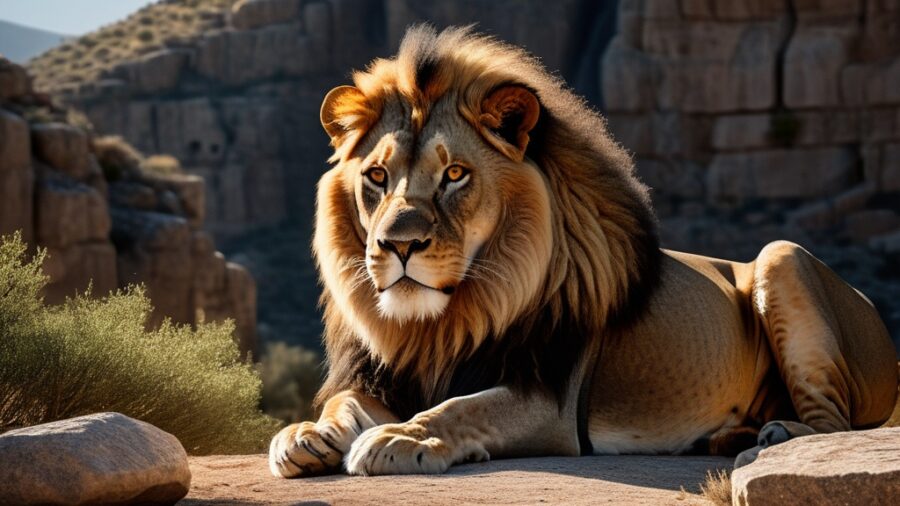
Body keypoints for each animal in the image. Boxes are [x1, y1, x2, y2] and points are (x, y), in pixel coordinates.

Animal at [269, 25, 898, 477]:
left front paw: (401, 436)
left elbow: (460, 407)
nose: (399, 244)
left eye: (454, 174)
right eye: (376, 176)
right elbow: (342, 404)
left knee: (837, 423)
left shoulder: (552, 402)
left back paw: (774, 435)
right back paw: (731, 434)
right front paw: (303, 435)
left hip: (781, 255)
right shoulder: (380, 378)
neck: (438, 325)